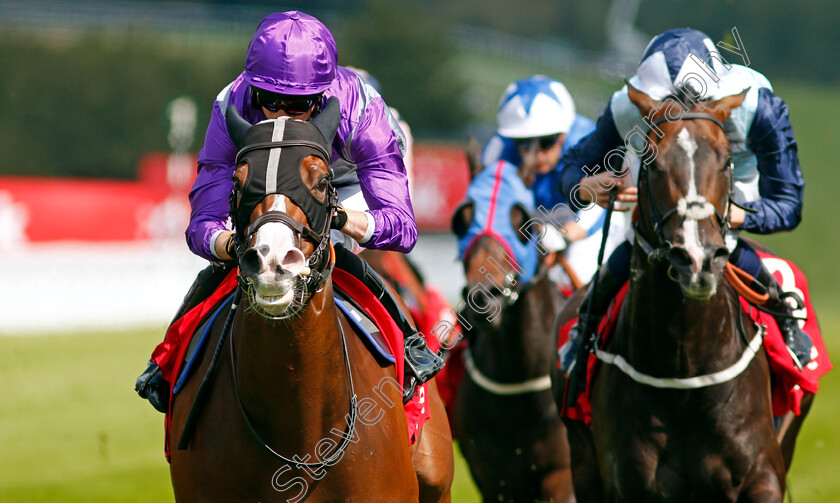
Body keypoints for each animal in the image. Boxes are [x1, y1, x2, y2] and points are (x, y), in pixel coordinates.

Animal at [552, 84, 812, 502]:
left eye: (726, 161)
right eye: (653, 163)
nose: (697, 258)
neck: (685, 367)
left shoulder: (762, 476)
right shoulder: (629, 484)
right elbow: (573, 165)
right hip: (582, 462)